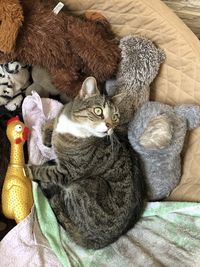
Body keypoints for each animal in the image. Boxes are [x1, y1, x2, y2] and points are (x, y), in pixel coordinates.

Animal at [26, 76, 146, 250]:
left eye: (115, 117)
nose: (110, 126)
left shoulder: (68, 172)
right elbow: (51, 124)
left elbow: (45, 172)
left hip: (86, 185)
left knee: (61, 205)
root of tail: (97, 243)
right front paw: (47, 135)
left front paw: (28, 170)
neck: (73, 126)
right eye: (98, 111)